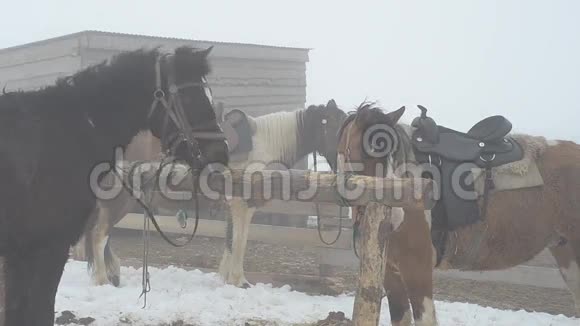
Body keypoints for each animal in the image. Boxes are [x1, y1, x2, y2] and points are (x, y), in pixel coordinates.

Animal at [336, 103, 580, 324]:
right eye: (360, 152)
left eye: (394, 156)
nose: (396, 217)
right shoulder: (390, 273)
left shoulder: (417, 269)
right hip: (566, 253)